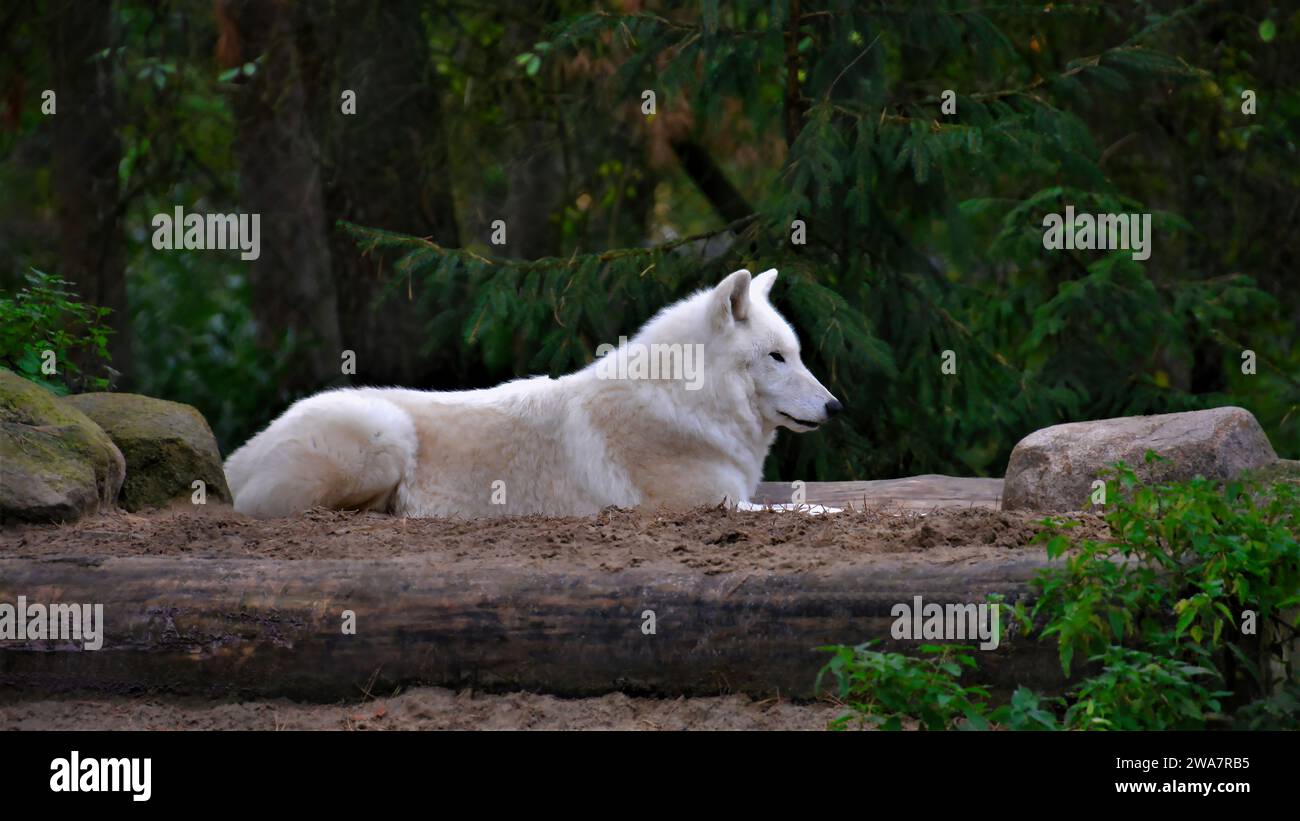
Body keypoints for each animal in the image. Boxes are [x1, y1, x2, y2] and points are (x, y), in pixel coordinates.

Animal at [224, 268, 842, 518]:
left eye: (797, 353)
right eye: (777, 357)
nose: (836, 407)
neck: (686, 404)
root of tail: (237, 457)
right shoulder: (710, 503)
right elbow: (808, 509)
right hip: (385, 434)